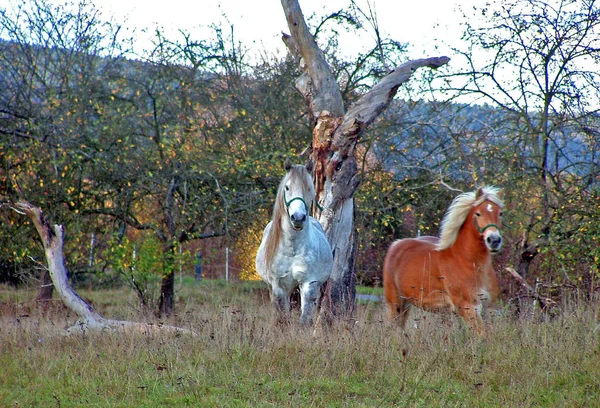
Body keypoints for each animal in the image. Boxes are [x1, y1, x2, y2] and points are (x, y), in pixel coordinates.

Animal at [255, 160, 336, 326]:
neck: (292, 248)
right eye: (287, 187)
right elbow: (283, 318)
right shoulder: (279, 287)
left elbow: (305, 319)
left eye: (309, 187)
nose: (298, 218)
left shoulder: (309, 283)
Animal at [384, 188, 502, 334]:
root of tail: (396, 244)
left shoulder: (489, 309)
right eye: (478, 213)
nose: (494, 240)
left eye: (500, 213)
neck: (467, 261)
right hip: (396, 303)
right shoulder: (468, 308)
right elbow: (482, 335)